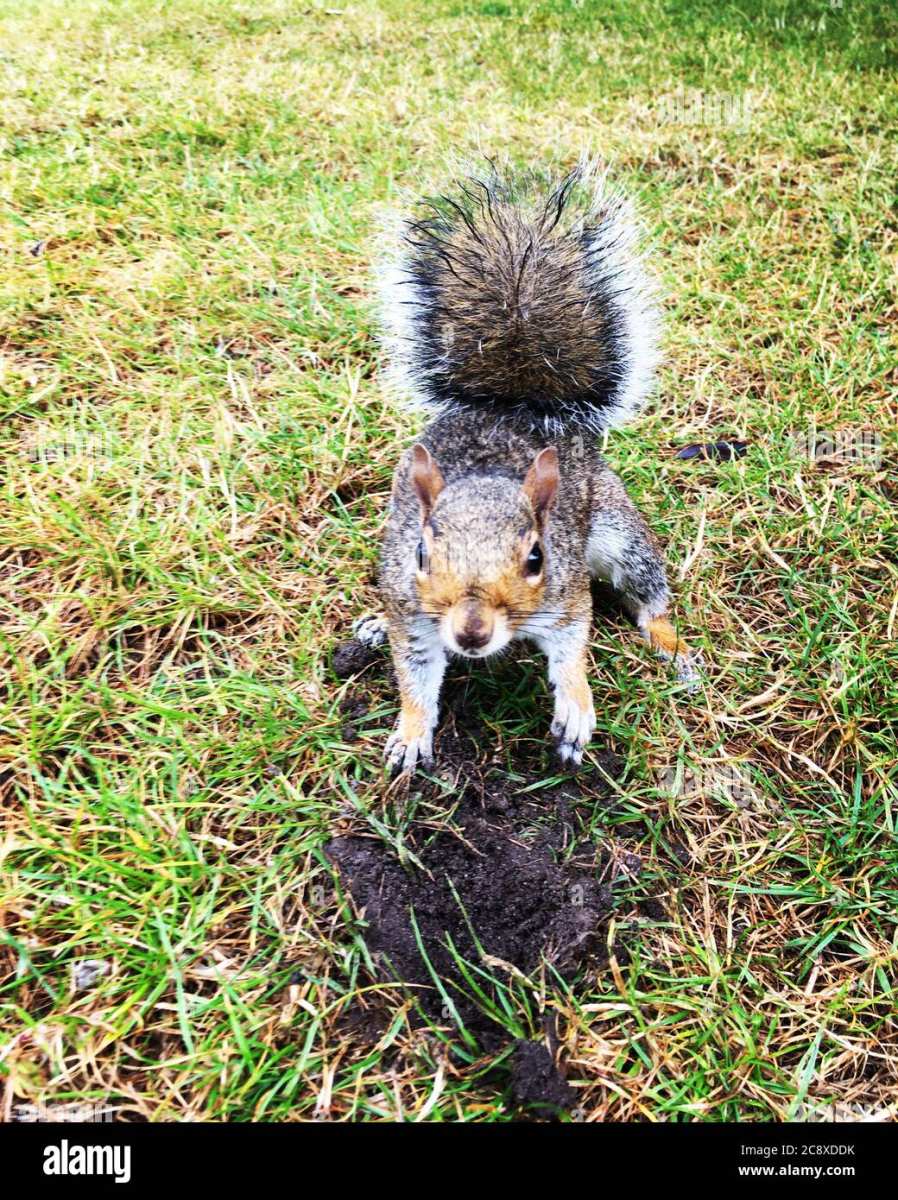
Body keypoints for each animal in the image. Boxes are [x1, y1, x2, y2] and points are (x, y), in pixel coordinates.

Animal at [354, 163, 699, 774]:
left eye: (536, 558)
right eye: (421, 555)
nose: (471, 633)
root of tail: (516, 407)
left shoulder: (565, 594)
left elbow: (572, 648)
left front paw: (577, 709)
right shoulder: (412, 614)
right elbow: (415, 678)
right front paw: (411, 733)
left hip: (618, 533)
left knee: (649, 595)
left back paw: (669, 645)